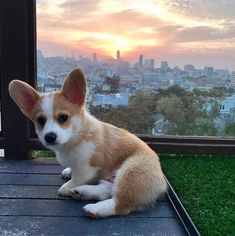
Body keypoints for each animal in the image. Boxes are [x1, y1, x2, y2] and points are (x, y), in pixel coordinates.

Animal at [8, 69, 167, 218]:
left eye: (63, 118)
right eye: (40, 120)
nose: (49, 137)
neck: (76, 136)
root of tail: (162, 184)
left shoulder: (88, 167)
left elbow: (77, 178)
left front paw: (66, 187)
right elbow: (73, 171)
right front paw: (69, 172)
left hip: (132, 171)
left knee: (121, 204)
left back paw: (94, 208)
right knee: (107, 190)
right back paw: (83, 192)